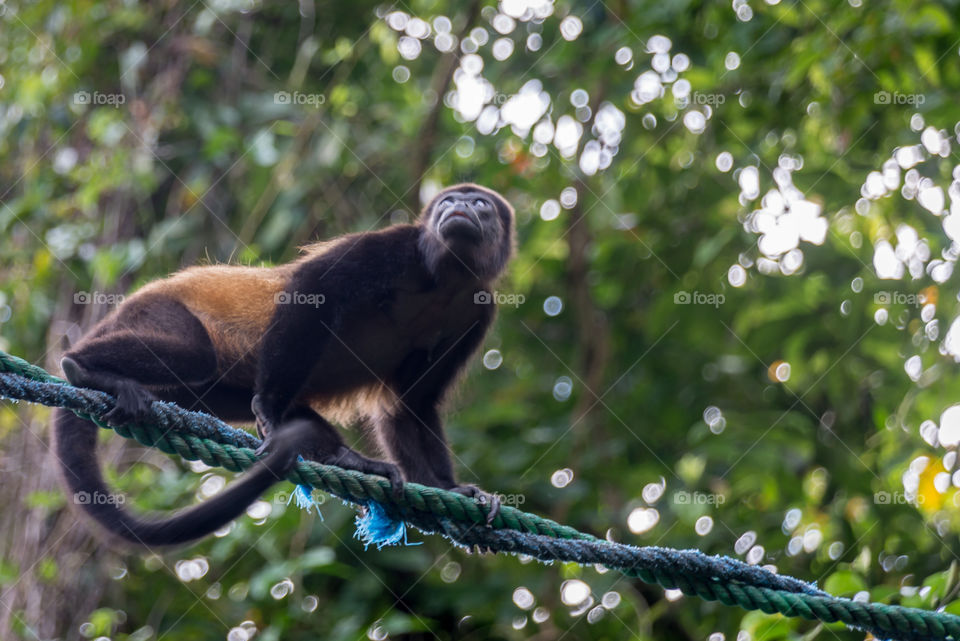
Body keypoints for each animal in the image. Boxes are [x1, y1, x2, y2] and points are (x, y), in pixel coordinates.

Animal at [53, 183, 515, 546]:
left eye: (480, 204)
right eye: (448, 201)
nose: (458, 207)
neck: (442, 278)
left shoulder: (478, 309)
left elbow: (411, 404)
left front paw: (450, 490)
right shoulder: (392, 246)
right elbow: (312, 290)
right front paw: (270, 412)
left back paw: (350, 461)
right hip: (156, 311)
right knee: (193, 353)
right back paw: (83, 367)